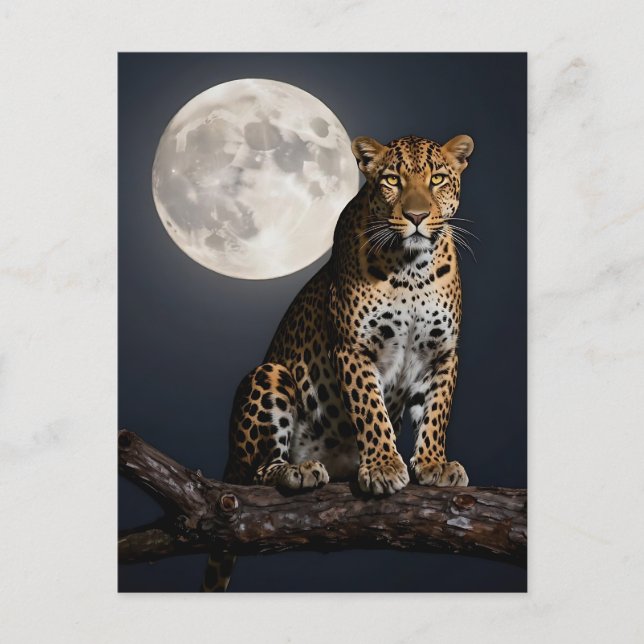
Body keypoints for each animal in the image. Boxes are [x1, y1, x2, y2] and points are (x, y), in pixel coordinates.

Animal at [202, 133, 474, 591]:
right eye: (392, 180)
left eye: (437, 179)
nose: (417, 216)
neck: (412, 270)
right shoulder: (354, 348)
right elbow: (371, 411)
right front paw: (383, 467)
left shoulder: (442, 354)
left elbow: (437, 413)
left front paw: (434, 463)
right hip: (269, 375)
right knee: (256, 472)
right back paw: (297, 472)